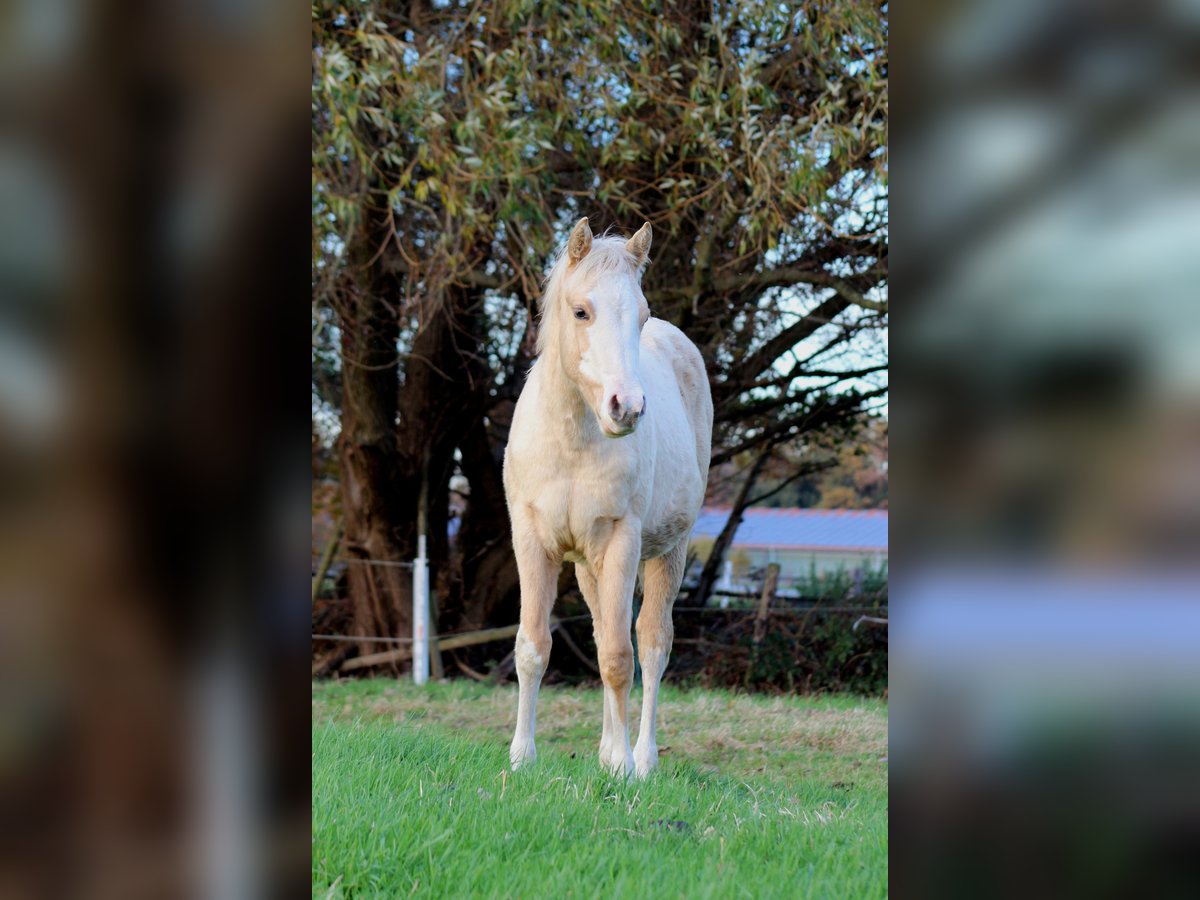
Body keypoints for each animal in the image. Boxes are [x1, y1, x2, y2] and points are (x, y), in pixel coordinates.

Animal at [503, 217, 713, 778]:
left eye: (639, 317)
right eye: (581, 311)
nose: (628, 407)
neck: (573, 441)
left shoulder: (622, 541)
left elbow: (621, 657)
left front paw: (621, 767)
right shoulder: (534, 541)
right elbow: (534, 646)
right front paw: (521, 755)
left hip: (668, 551)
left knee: (652, 644)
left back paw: (641, 756)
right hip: (587, 566)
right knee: (602, 632)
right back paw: (605, 746)